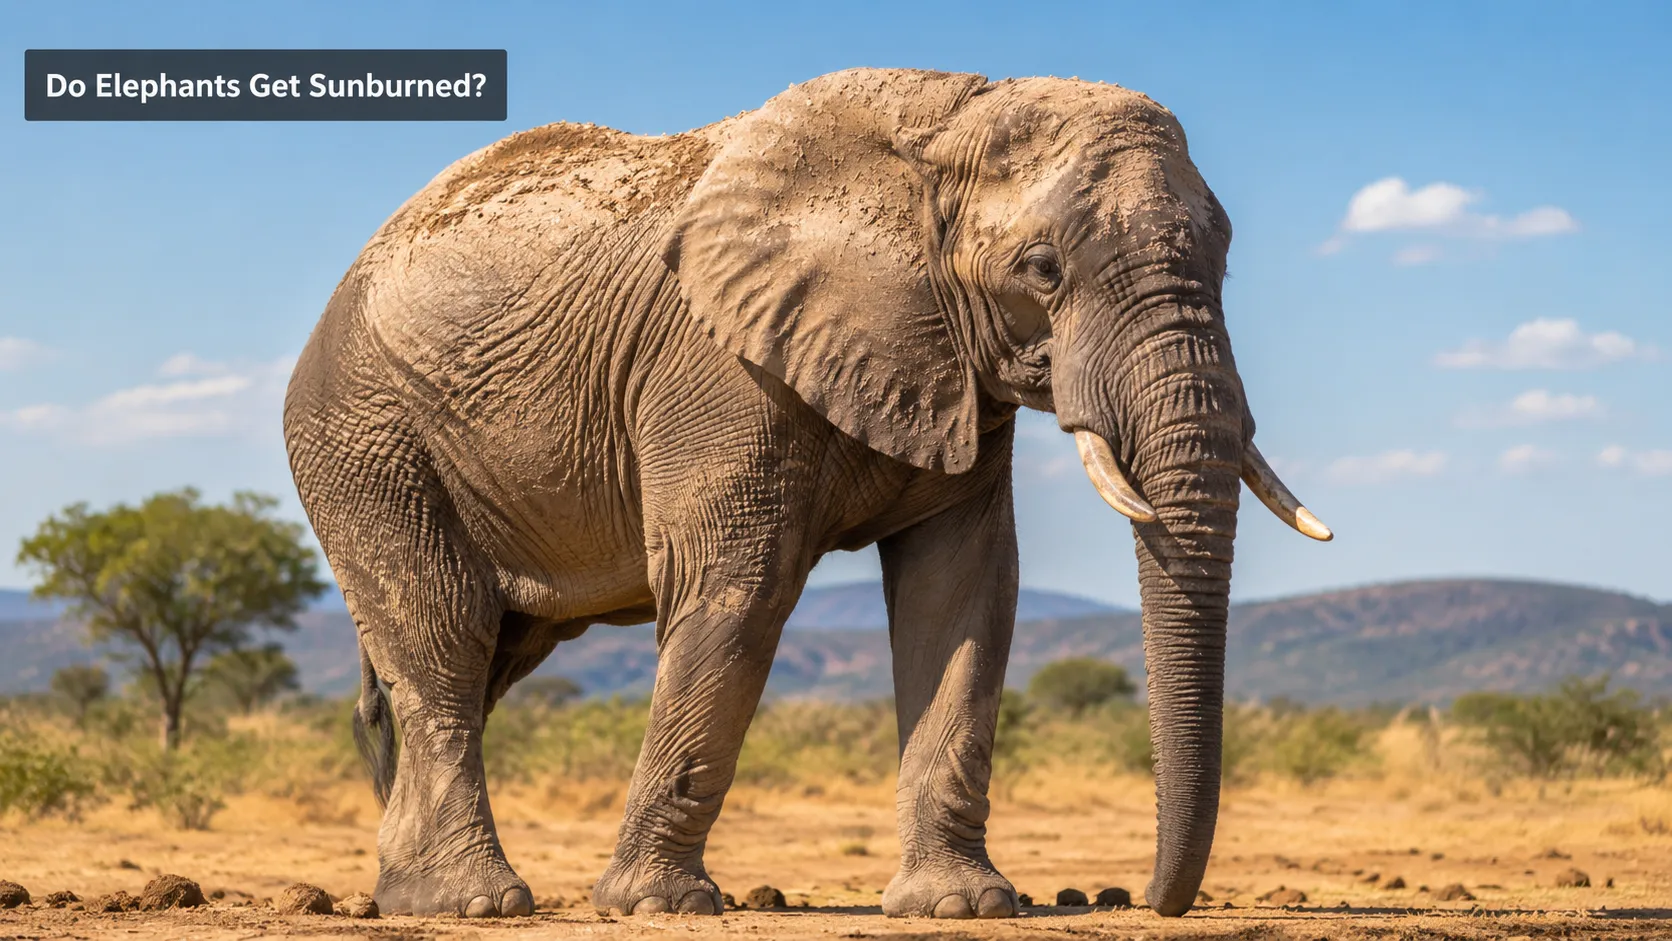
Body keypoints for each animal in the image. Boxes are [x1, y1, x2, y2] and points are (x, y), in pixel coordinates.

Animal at [283, 67, 1331, 920]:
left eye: (1226, 257)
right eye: (1043, 270)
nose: (1145, 898)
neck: (951, 115)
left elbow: (964, 594)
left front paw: (961, 905)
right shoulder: (718, 366)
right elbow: (735, 590)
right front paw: (661, 906)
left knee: (494, 651)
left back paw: (411, 888)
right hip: (364, 437)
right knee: (444, 637)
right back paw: (473, 901)